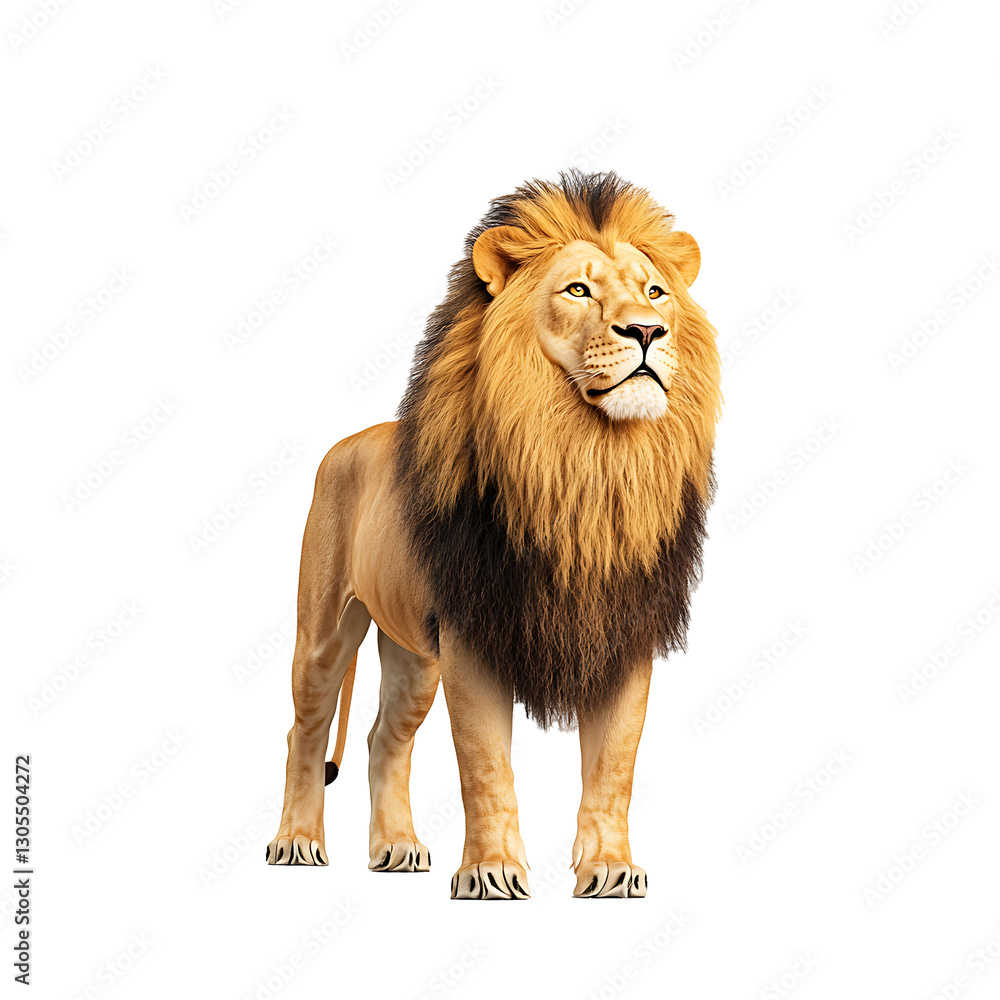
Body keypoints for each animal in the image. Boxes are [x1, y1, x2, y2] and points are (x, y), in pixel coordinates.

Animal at [267, 171, 721, 899]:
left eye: (655, 292)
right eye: (578, 290)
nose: (649, 331)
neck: (588, 464)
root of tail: (350, 440)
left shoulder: (623, 632)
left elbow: (614, 765)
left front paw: (610, 867)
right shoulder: (473, 634)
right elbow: (484, 764)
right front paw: (490, 870)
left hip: (414, 657)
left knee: (383, 739)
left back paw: (396, 847)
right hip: (325, 630)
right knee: (304, 731)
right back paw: (297, 842)